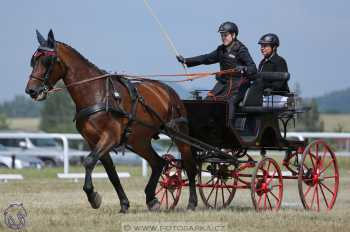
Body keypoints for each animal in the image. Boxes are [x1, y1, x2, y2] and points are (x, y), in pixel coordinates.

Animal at [25, 29, 197, 213]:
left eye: (47, 60)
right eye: (33, 60)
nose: (31, 90)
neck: (96, 94)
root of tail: (168, 91)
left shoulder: (110, 137)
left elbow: (88, 161)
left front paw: (93, 196)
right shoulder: (93, 141)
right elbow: (111, 173)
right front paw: (124, 204)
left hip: (179, 134)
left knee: (189, 165)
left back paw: (192, 203)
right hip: (139, 141)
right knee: (158, 162)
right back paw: (151, 199)